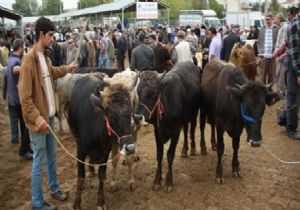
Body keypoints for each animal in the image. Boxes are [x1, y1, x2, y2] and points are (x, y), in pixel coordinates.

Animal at [68, 74, 136, 209]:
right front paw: (77, 203)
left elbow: (102, 176)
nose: (130, 148)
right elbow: (80, 176)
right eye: (111, 116)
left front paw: (100, 202)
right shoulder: (80, 150)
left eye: (130, 112)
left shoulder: (105, 152)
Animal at [136, 61, 202, 192]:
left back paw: (192, 148)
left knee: (192, 129)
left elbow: (170, 155)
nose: (138, 117)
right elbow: (159, 155)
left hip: (194, 112)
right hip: (184, 119)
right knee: (186, 130)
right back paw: (184, 150)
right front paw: (157, 180)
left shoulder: (175, 131)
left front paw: (168, 181)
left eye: (153, 93)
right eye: (138, 92)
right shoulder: (158, 132)